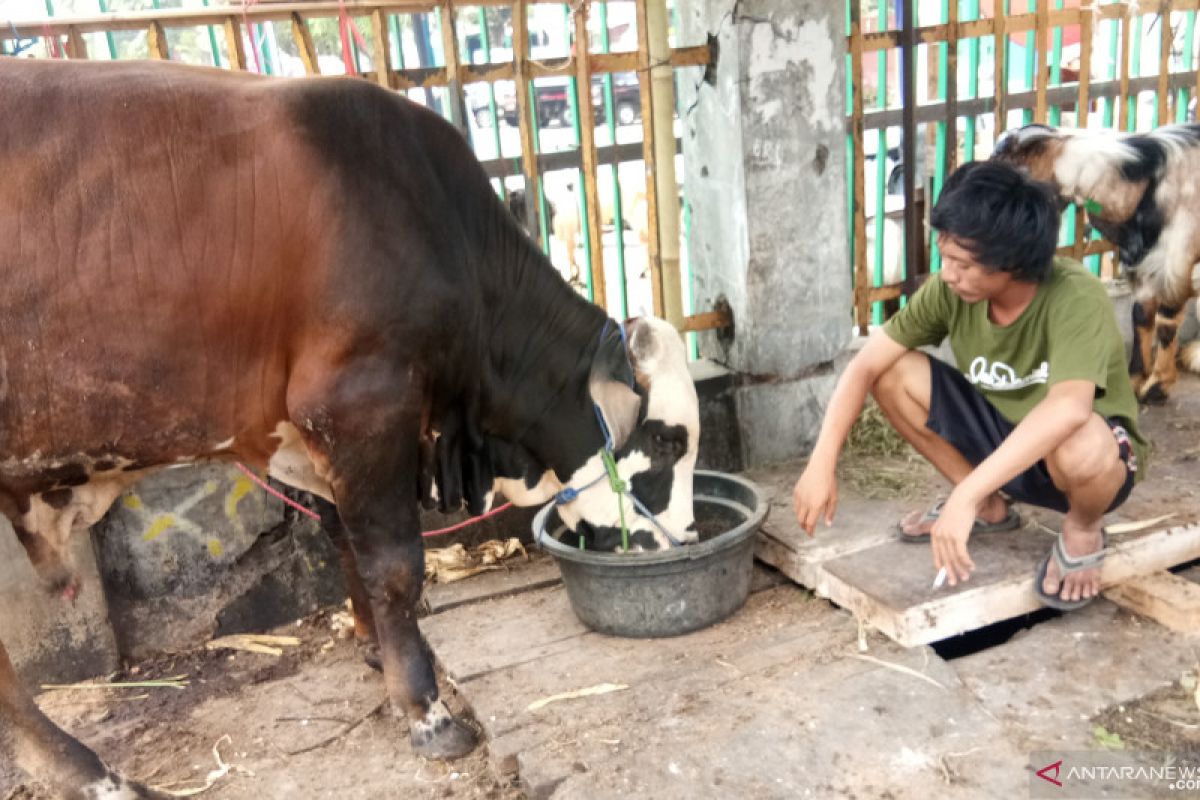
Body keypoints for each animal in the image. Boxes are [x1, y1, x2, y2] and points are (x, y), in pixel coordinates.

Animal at [0, 59, 700, 796]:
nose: (686, 539)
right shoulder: (362, 405)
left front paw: (373, 647)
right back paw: (87, 770)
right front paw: (425, 711)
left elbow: (341, 537)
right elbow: (394, 566)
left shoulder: (310, 432)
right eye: (665, 441)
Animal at [988, 124, 1200, 402]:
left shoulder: (1174, 262)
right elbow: (1140, 316)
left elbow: (1166, 323)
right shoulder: (1140, 263)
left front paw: (1157, 386)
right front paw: (1135, 379)